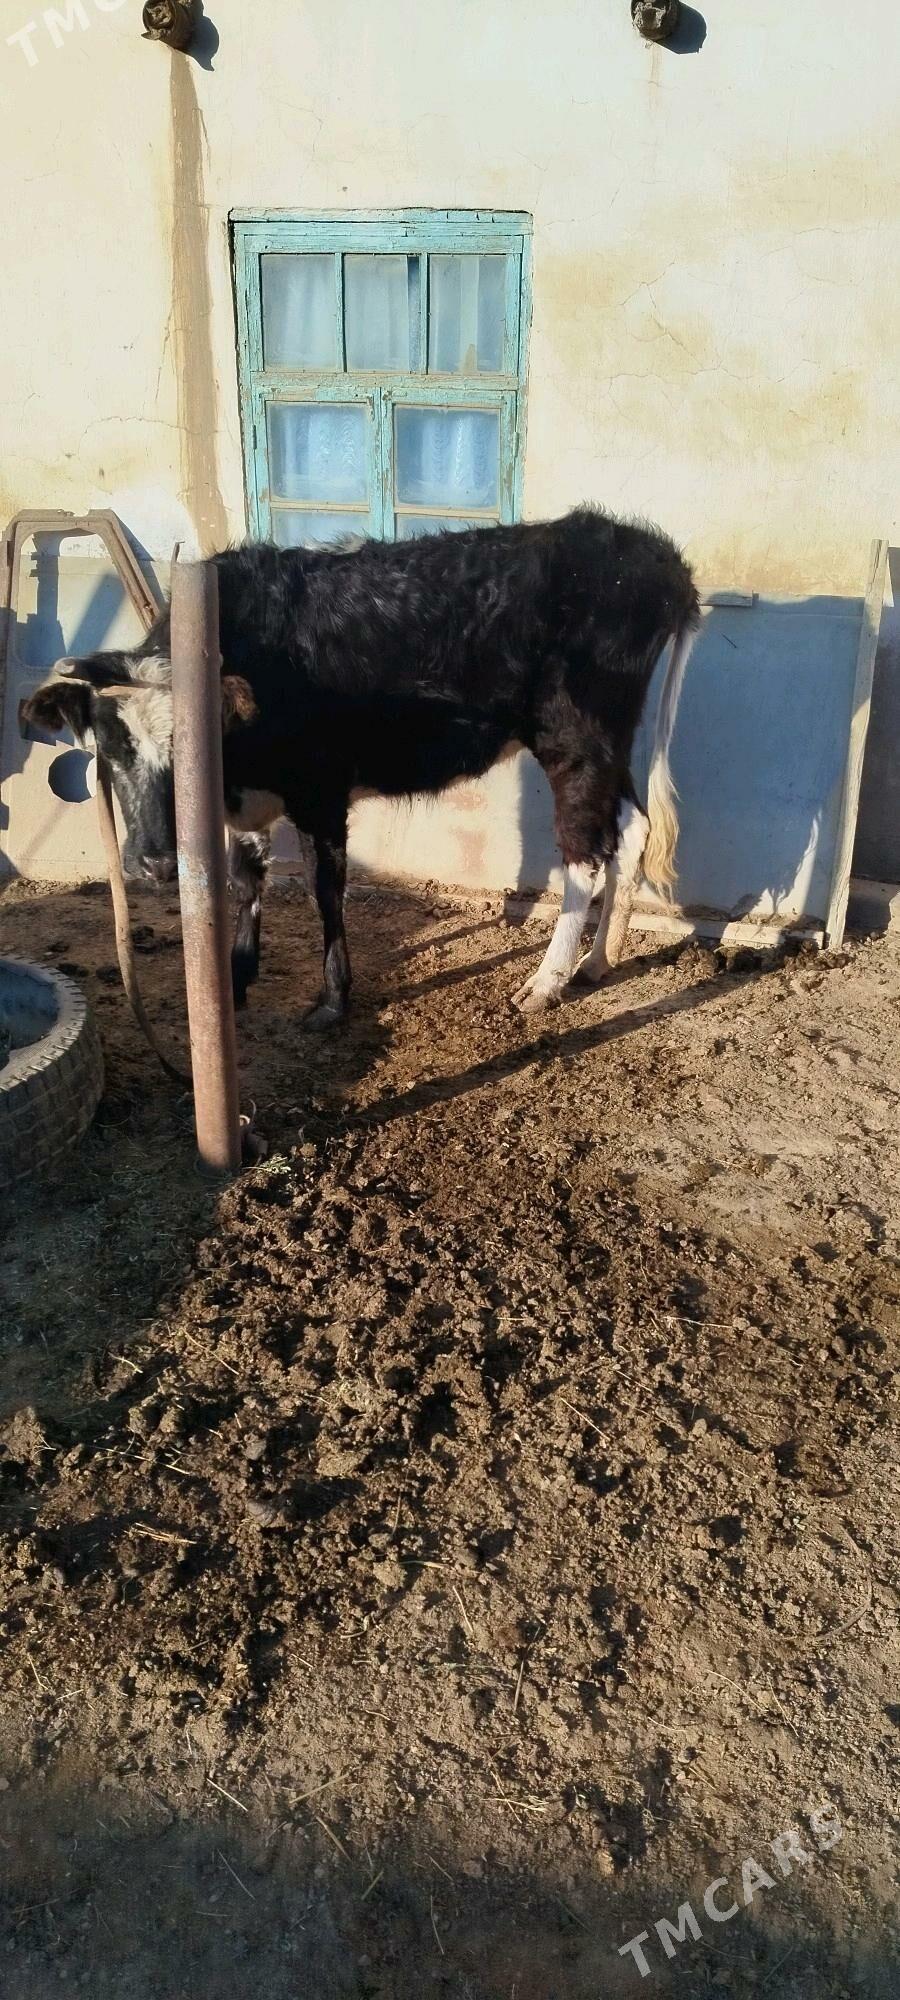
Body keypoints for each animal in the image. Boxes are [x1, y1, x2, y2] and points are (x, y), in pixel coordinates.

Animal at [20, 508, 699, 1026]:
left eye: (190, 746)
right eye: (109, 748)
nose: (157, 863)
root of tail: (648, 553)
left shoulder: (321, 791)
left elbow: (326, 890)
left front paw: (332, 999)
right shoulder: (251, 800)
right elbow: (246, 879)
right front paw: (236, 978)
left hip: (574, 736)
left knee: (584, 852)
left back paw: (544, 983)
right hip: (610, 744)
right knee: (630, 830)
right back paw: (597, 961)